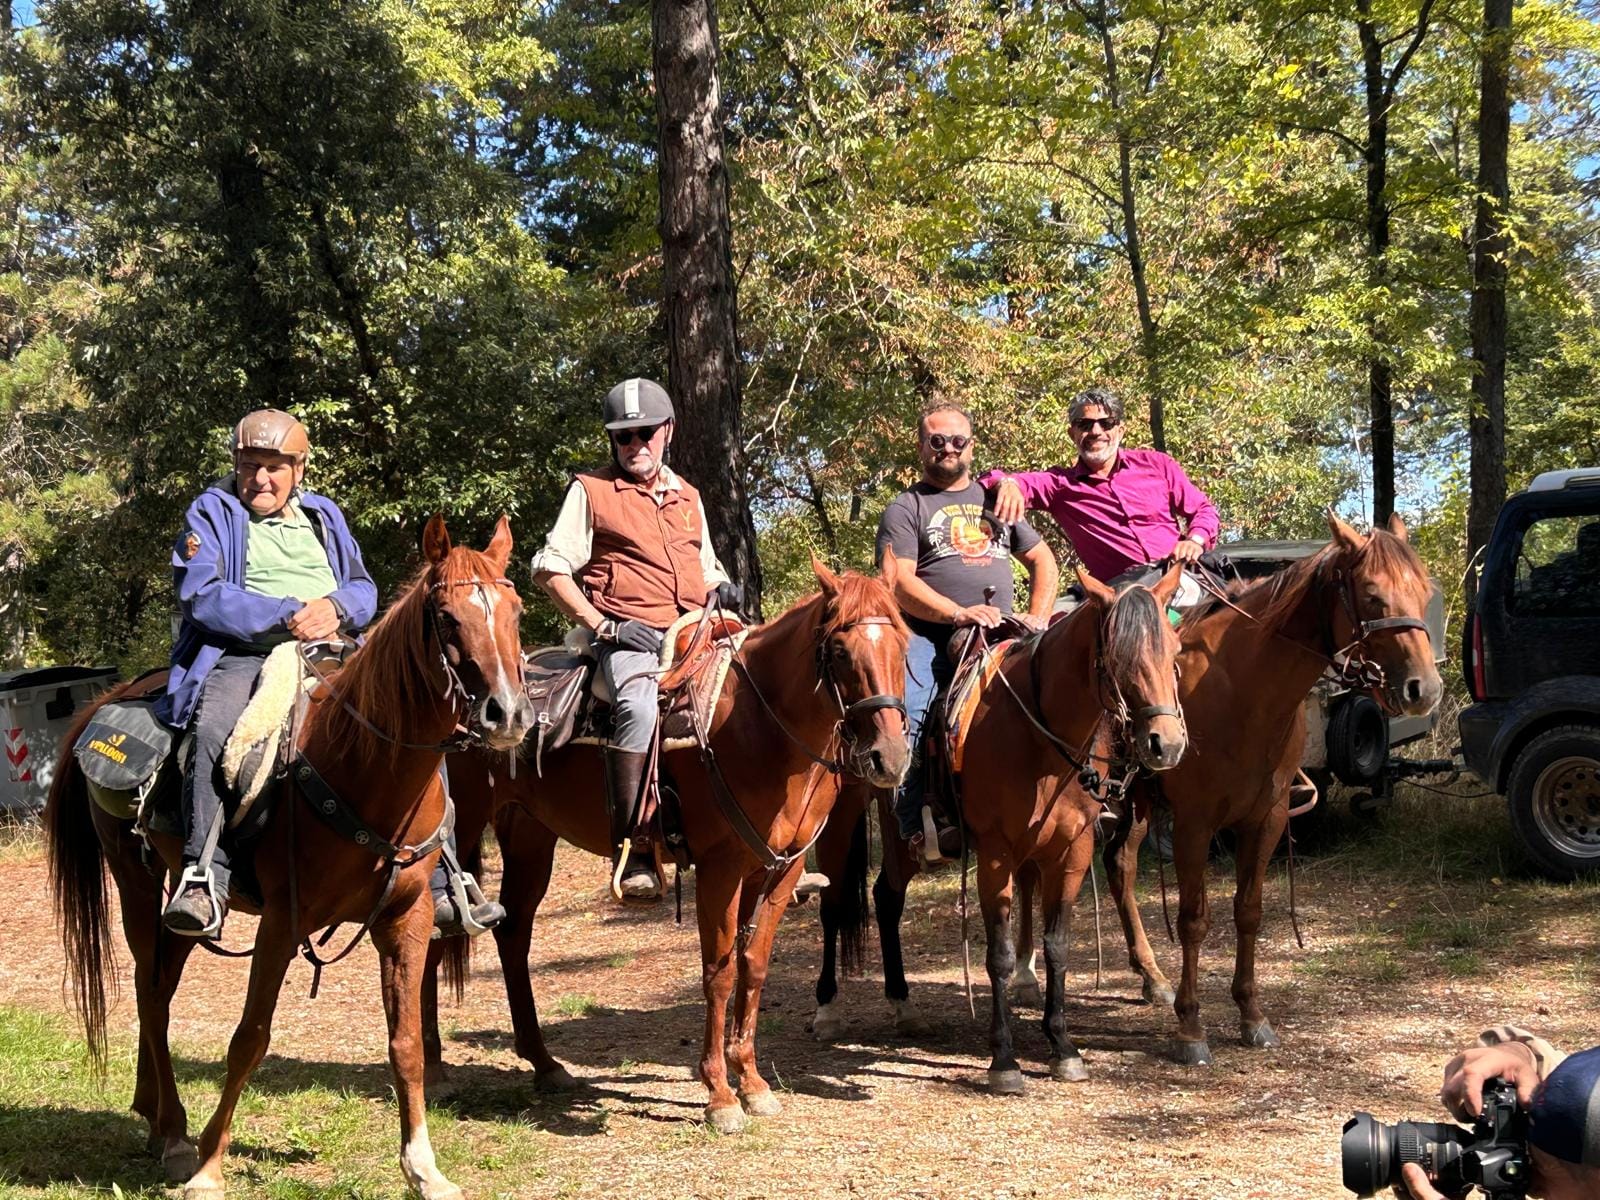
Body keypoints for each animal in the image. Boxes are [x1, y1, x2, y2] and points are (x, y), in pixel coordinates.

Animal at [46, 515, 532, 1200]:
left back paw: (155, 1116)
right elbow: (250, 1038)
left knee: (161, 986)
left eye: (515, 612)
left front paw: (424, 1167)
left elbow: (406, 1043)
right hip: (136, 880)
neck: (360, 766)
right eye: (445, 617)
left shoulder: (406, 922)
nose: (507, 713)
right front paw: (210, 1169)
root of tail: (114, 696)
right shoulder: (282, 920)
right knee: (149, 987)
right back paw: (176, 1135)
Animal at [436, 557, 910, 1132]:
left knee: (514, 934)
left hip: (530, 835)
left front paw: (752, 1082)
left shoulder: (780, 871)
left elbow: (754, 965)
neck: (760, 726)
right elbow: (719, 973)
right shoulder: (720, 869)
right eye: (840, 651)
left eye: (904, 643)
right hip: (453, 834)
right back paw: (433, 1070)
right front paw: (720, 1095)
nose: (890, 757)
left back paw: (545, 1064)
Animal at [811, 563, 1189, 1093]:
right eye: (1117, 656)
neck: (1039, 738)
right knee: (832, 905)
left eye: (1175, 650)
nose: (1166, 743)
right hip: (840, 819)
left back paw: (903, 1003)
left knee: (886, 898)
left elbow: (1057, 947)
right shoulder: (996, 854)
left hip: (902, 843)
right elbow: (1001, 955)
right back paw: (826, 1008)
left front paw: (1063, 1047)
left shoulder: (1070, 853)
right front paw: (1004, 1060)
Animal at [1050, 513, 1441, 1065]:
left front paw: (1252, 1014)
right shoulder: (1195, 823)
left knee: (1120, 865)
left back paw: (1151, 975)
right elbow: (1194, 919)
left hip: (1139, 805)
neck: (1241, 689)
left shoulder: (1267, 818)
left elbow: (1248, 912)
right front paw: (1191, 1027)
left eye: (1423, 589)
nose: (1423, 689)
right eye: (1371, 594)